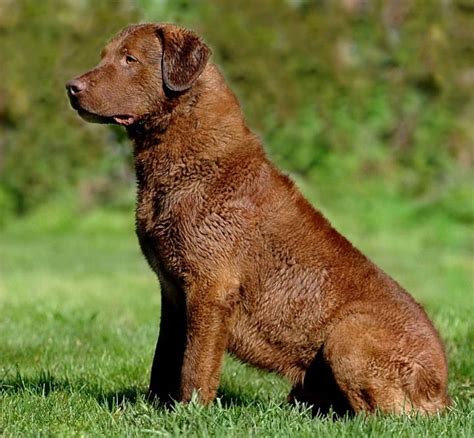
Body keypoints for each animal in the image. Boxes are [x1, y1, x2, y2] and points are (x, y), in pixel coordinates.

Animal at [65, 23, 448, 414]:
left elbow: (195, 364)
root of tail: (443, 391)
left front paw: (190, 413)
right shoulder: (171, 291)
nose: (71, 87)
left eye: (130, 59)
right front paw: (153, 408)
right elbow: (164, 358)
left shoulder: (211, 288)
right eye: (104, 55)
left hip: (347, 335)